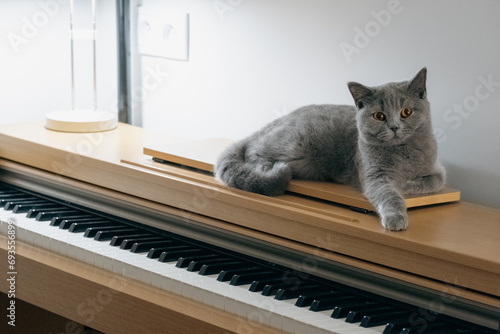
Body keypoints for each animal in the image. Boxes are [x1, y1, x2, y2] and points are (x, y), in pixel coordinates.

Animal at [214, 67, 446, 230]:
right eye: (379, 116)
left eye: (406, 112)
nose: (395, 127)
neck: (402, 152)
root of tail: (278, 120)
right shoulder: (374, 175)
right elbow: (389, 194)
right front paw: (395, 216)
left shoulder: (437, 168)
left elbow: (435, 181)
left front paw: (407, 184)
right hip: (291, 143)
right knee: (253, 150)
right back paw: (263, 168)